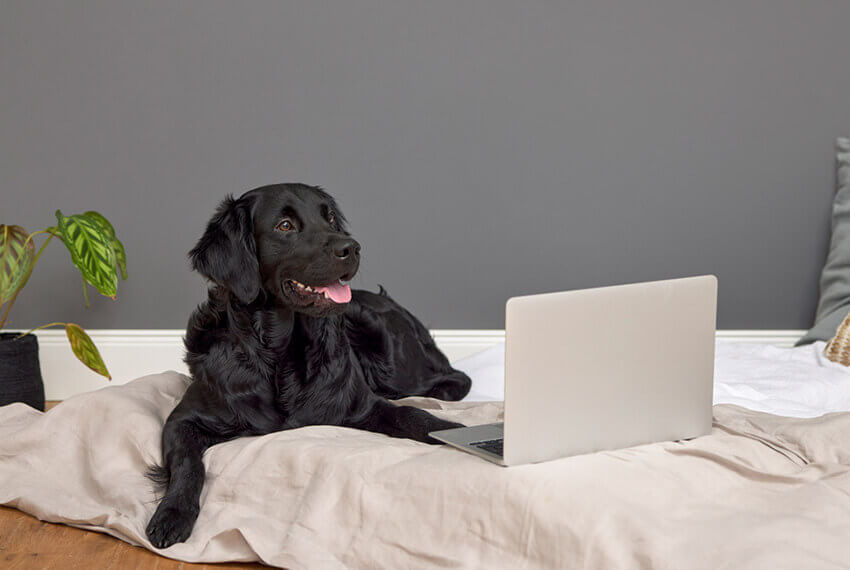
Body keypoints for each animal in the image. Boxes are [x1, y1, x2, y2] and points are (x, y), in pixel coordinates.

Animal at [146, 182, 470, 544]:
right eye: (285, 226)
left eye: (329, 218)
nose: (351, 248)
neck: (278, 353)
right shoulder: (182, 419)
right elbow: (188, 462)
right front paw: (173, 513)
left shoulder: (363, 405)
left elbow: (413, 415)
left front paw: (460, 432)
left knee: (454, 376)